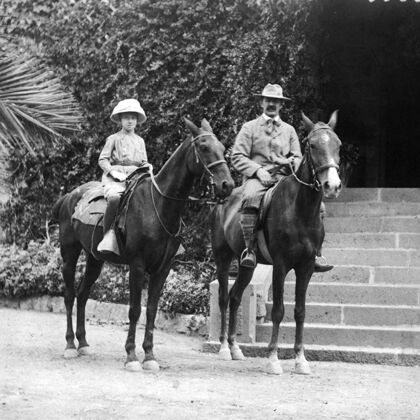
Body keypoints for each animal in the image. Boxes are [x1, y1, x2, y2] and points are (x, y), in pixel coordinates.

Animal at [51, 117, 235, 370]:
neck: (159, 205)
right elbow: (135, 310)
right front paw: (131, 355)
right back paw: (70, 345)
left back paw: (84, 344)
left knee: (82, 294)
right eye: (204, 147)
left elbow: (152, 311)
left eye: (222, 147)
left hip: (95, 260)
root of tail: (69, 196)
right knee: (69, 295)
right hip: (69, 254)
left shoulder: (163, 268)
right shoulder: (137, 266)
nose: (227, 185)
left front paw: (149, 355)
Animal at [212, 110, 342, 374]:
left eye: (339, 145)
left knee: (235, 296)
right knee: (223, 297)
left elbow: (300, 312)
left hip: (246, 265)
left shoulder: (305, 267)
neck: (301, 209)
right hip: (223, 258)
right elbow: (278, 311)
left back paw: (235, 348)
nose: (332, 186)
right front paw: (273, 358)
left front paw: (301, 359)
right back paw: (223, 347)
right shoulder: (281, 265)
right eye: (313, 145)